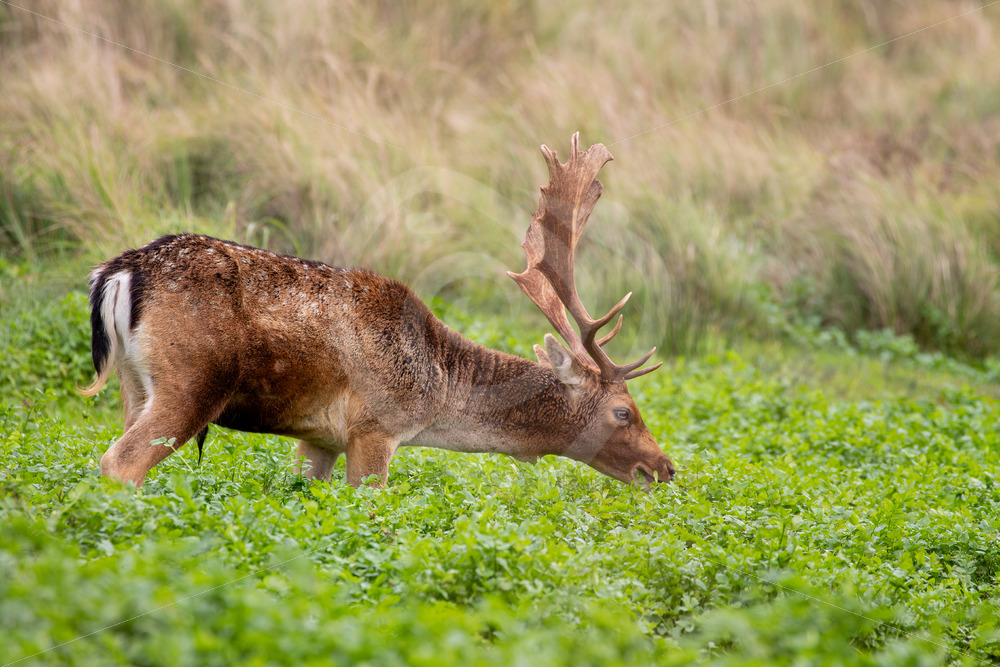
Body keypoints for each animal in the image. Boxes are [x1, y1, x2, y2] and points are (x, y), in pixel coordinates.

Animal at [81, 133, 675, 489]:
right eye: (624, 411)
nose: (665, 467)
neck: (436, 387)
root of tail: (121, 272)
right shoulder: (375, 425)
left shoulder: (318, 437)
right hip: (191, 381)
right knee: (119, 464)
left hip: (134, 384)